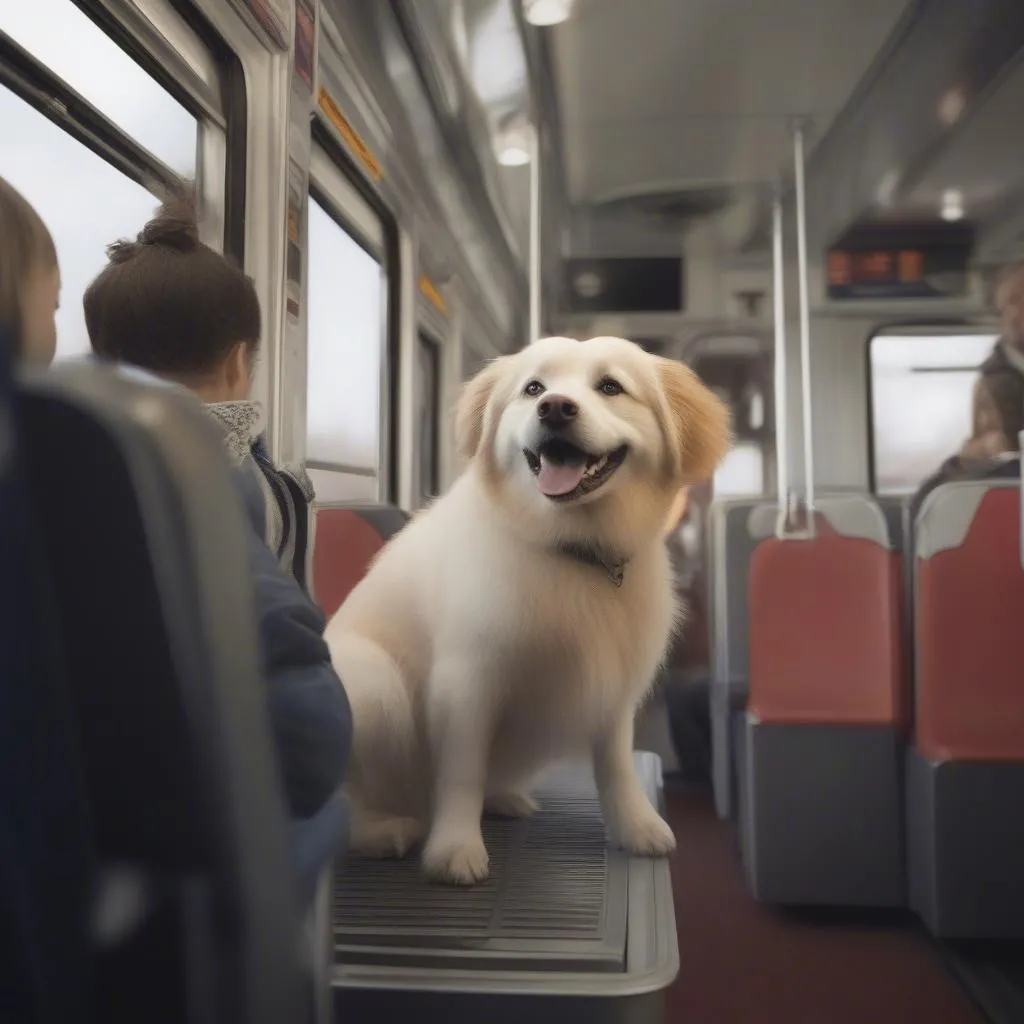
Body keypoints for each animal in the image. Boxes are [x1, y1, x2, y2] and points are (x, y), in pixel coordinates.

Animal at [323, 339, 733, 884]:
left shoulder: (614, 689)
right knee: (345, 802)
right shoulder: (467, 682)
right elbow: (462, 772)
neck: (572, 549)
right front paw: (455, 848)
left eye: (610, 386)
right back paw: (383, 832)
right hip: (373, 682)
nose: (555, 407)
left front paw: (636, 826)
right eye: (534, 388)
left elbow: (616, 766)